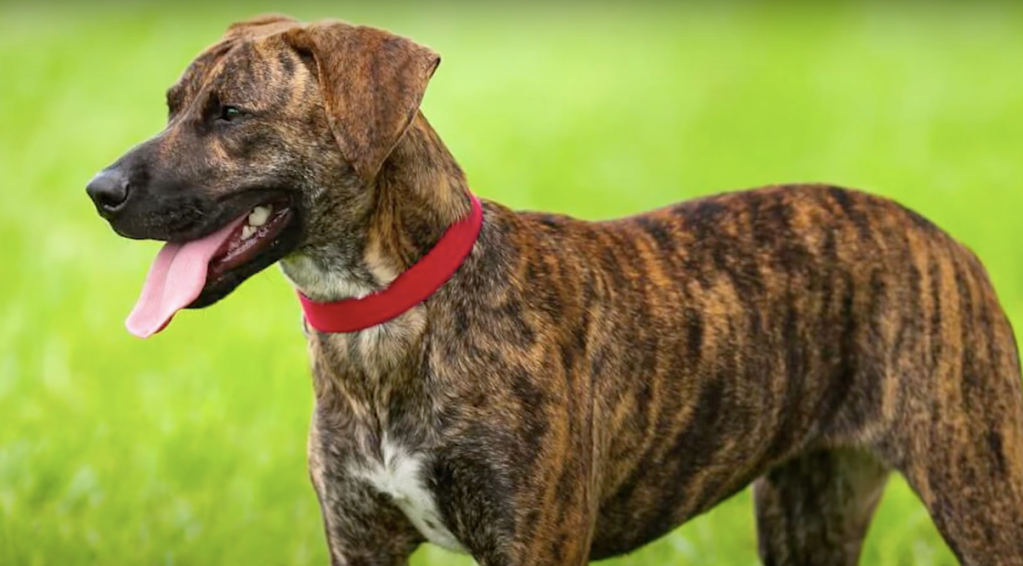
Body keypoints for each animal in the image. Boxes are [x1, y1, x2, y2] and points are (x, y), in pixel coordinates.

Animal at [85, 12, 1023, 564]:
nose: (98, 190)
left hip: (978, 485)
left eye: (231, 114)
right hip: (810, 506)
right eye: (172, 104)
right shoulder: (359, 538)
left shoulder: (529, 540)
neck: (394, 317)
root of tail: (947, 241)